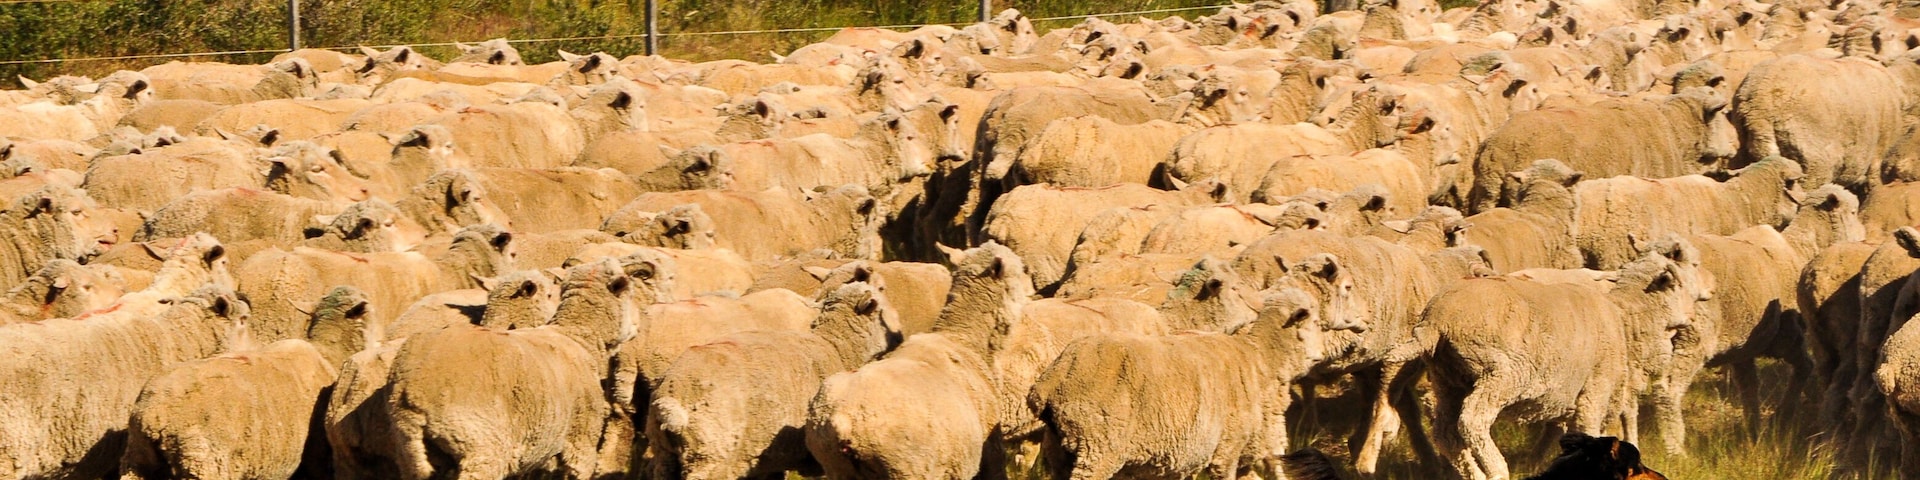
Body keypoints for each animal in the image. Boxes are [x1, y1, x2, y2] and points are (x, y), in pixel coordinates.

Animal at [383, 257, 651, 480]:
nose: (640, 323)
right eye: (630, 293)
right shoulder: (581, 440)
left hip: (411, 453)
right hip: (482, 446)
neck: (578, 337)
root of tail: (412, 392)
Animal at [646, 281, 903, 479]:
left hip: (665, 455)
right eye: (883, 309)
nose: (900, 335)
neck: (835, 347)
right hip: (710, 455)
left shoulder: (770, 458)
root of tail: (674, 393)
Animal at [1027, 287, 1337, 480]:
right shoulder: (1227, 448)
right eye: (1316, 322)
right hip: (1099, 446)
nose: (1323, 355)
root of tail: (1058, 373)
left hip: (1059, 451)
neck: (1261, 359)